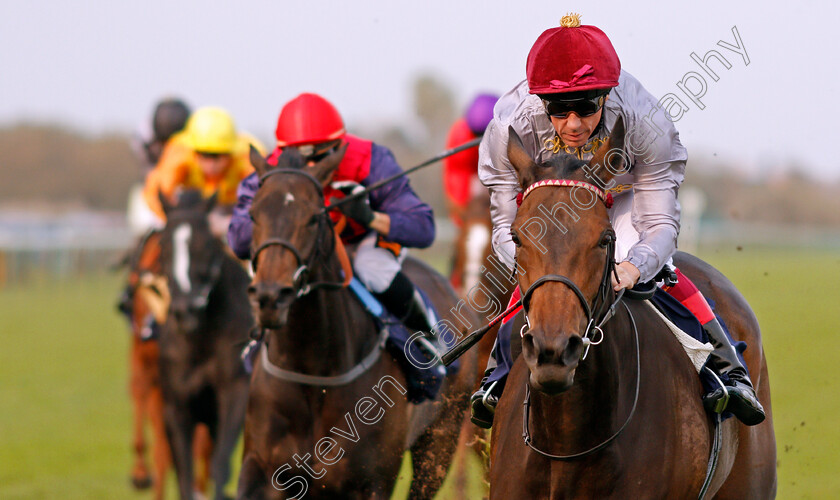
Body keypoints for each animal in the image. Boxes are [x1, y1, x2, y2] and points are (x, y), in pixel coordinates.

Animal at [156, 191, 251, 500]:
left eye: (207, 244)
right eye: (163, 244)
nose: (186, 309)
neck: (200, 340)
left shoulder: (235, 394)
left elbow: (220, 465)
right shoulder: (177, 408)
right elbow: (185, 475)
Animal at [236, 147, 476, 500]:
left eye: (314, 217)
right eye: (253, 215)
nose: (270, 296)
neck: (314, 375)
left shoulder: (371, 483)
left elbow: (419, 219)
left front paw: (357, 206)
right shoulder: (262, 470)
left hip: (440, 442)